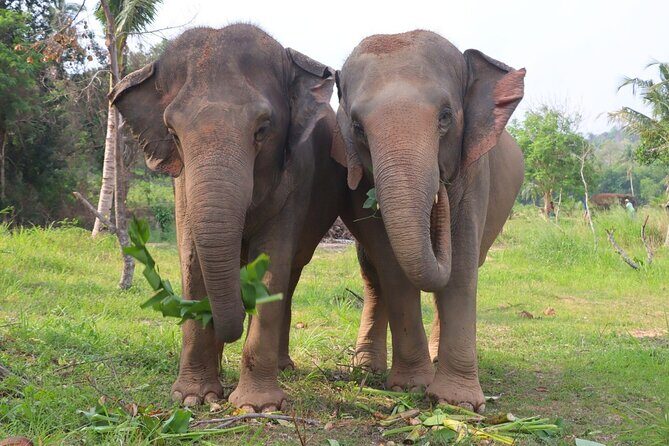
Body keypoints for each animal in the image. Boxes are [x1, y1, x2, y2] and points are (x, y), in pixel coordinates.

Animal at [110, 24, 346, 412]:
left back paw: (283, 367)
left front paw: (257, 407)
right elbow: (192, 258)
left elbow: (273, 263)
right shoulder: (181, 184)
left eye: (262, 130)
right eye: (172, 133)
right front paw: (193, 397)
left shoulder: (297, 176)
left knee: (292, 275)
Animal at [332, 30, 526, 413]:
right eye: (358, 127)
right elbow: (390, 264)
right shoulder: (356, 178)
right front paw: (410, 386)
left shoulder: (475, 170)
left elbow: (462, 263)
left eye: (446, 116)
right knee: (372, 273)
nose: (440, 193)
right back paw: (366, 368)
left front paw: (459, 403)